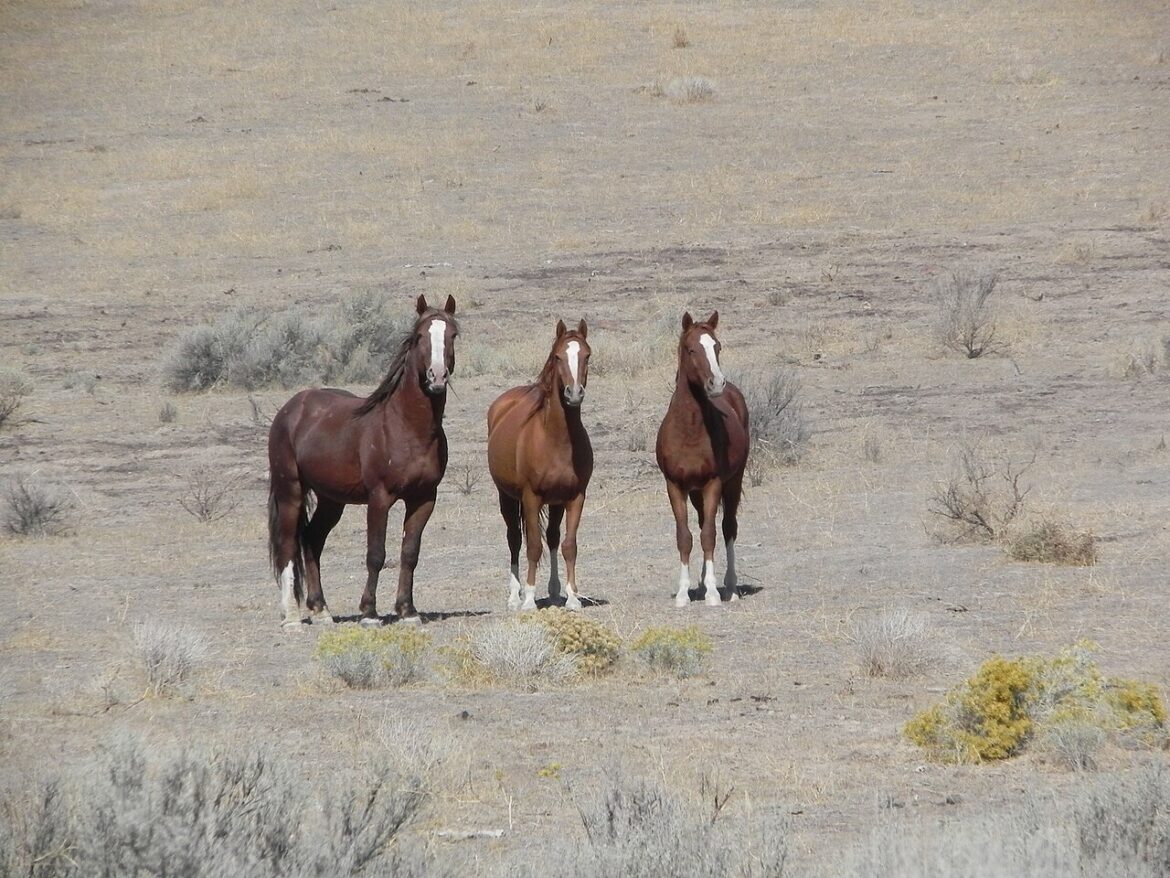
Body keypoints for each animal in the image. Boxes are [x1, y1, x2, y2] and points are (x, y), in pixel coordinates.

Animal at [266, 294, 458, 628]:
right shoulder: (379, 498)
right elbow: (376, 554)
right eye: (420, 336)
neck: (407, 427)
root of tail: (290, 409)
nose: (437, 377)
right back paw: (291, 617)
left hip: (332, 500)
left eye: (453, 335)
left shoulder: (424, 498)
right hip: (290, 491)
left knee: (312, 541)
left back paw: (321, 610)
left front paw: (408, 611)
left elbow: (410, 553)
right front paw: (369, 613)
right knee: (288, 545)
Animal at [487, 319, 593, 612]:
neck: (557, 440)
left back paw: (555, 592)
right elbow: (533, 546)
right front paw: (529, 600)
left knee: (554, 537)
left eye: (587, 355)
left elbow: (569, 545)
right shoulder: (531, 497)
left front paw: (572, 597)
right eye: (557, 357)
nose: (574, 394)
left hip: (555, 502)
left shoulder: (575, 497)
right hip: (507, 497)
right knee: (514, 539)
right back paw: (515, 596)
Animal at [656, 311, 749, 607]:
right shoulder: (675, 486)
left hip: (733, 482)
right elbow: (685, 537)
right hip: (696, 492)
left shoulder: (713, 483)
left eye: (717, 347)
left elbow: (710, 535)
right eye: (691, 349)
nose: (716, 383)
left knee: (728, 527)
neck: (689, 430)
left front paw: (712, 594)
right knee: (700, 525)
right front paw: (684, 593)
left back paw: (730, 588)